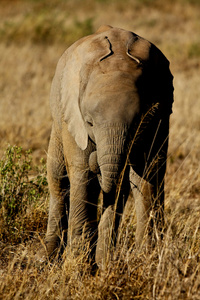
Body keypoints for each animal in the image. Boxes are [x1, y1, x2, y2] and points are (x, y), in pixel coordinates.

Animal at [41, 24, 173, 268]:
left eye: (139, 123)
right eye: (90, 122)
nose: (98, 160)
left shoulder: (160, 115)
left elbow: (148, 174)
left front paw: (148, 262)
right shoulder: (75, 117)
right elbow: (84, 175)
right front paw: (79, 269)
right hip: (59, 115)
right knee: (58, 178)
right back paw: (47, 260)